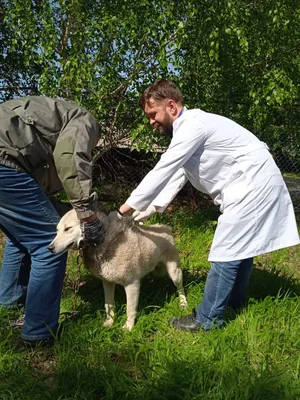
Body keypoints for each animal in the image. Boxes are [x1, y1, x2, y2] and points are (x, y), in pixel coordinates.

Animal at [48, 209, 186, 332]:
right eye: (57, 230)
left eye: (68, 228)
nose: (50, 248)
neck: (106, 243)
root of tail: (166, 228)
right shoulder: (107, 283)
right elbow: (108, 304)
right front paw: (110, 322)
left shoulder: (132, 284)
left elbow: (130, 309)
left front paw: (128, 328)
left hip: (175, 273)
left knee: (180, 287)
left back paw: (183, 304)